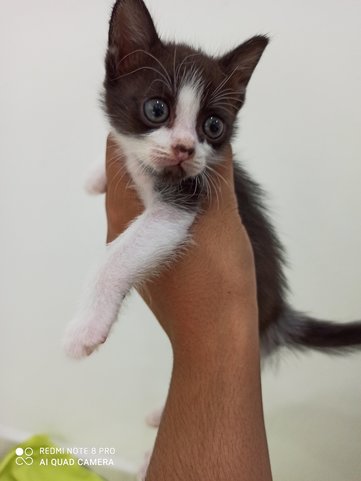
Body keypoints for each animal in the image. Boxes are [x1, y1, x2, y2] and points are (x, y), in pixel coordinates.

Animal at [62, 0, 360, 360]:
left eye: (214, 126)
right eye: (157, 109)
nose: (185, 149)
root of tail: (277, 315)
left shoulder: (180, 203)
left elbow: (115, 257)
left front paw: (85, 328)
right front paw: (96, 175)